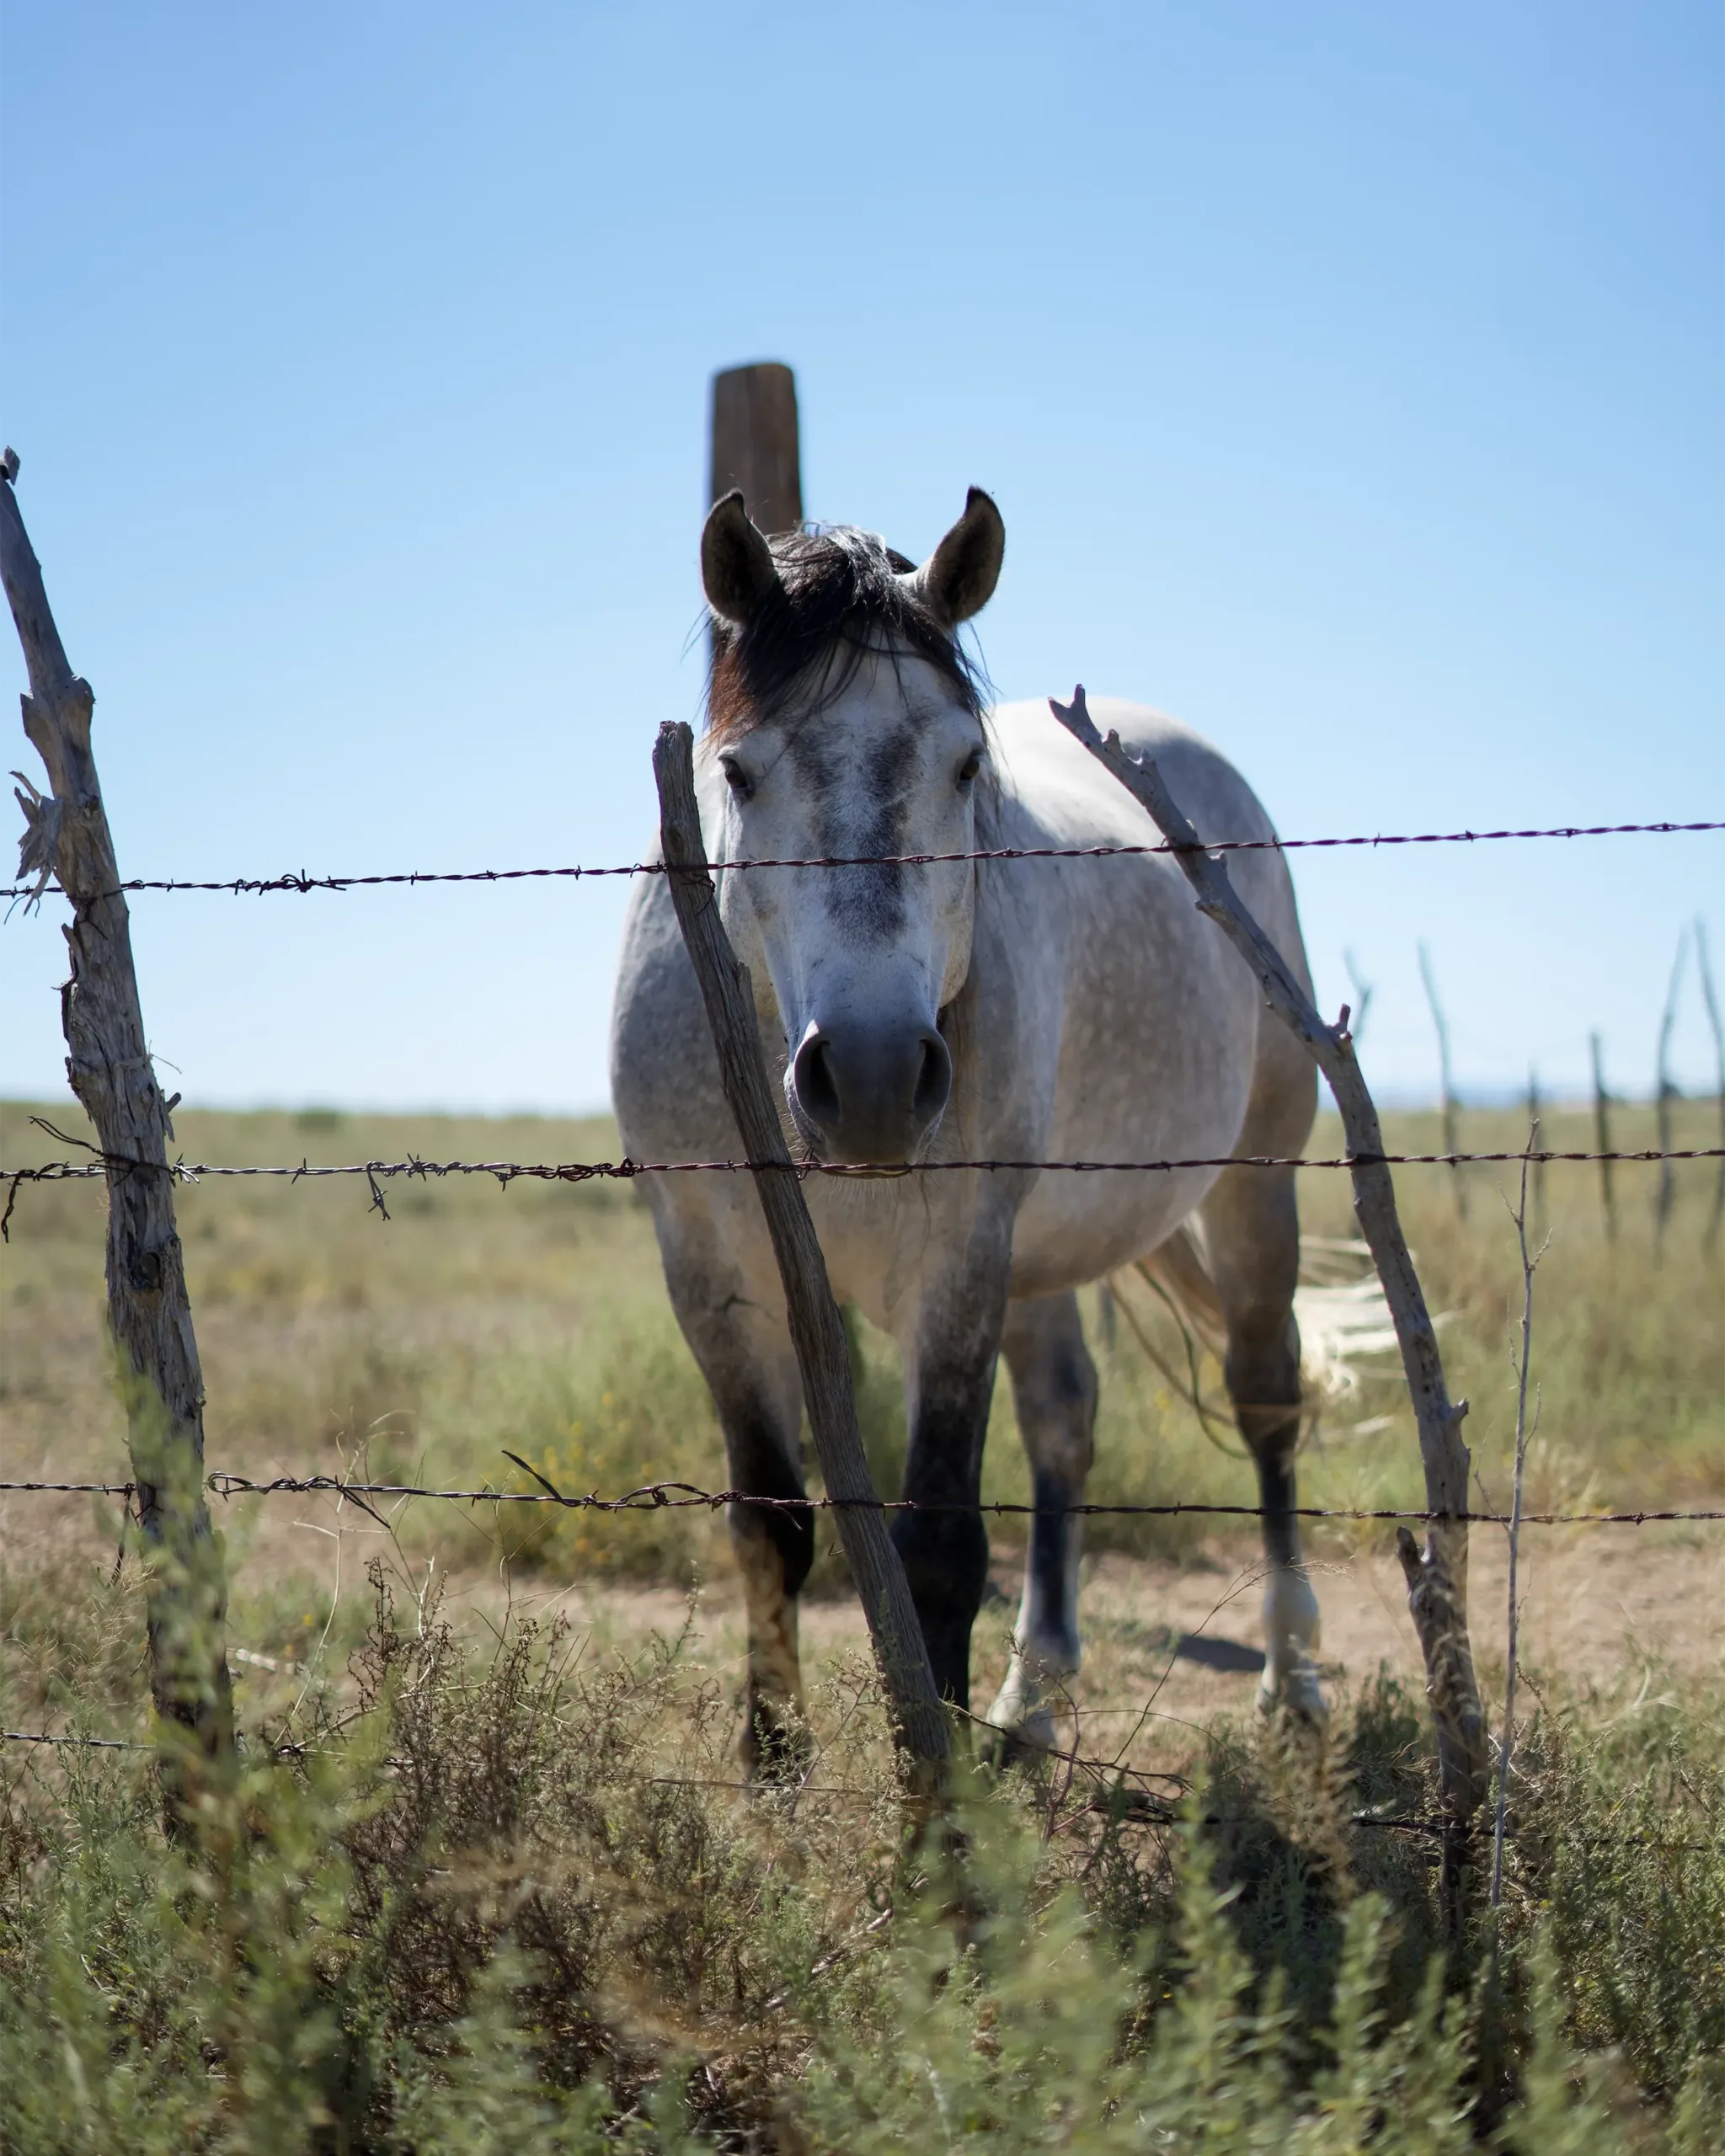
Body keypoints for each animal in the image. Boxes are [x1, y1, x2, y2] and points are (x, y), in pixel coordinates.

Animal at [612, 494, 1327, 1768]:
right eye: (737, 772)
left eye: (964, 763)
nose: (874, 1076)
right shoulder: (708, 1271)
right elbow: (770, 1527)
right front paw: (771, 1763)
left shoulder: (954, 1265)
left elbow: (939, 1542)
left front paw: (938, 1802)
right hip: (1039, 1256)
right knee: (1065, 1422)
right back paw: (1030, 1694)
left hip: (1252, 1185)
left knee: (1265, 1400)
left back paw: (1291, 1678)